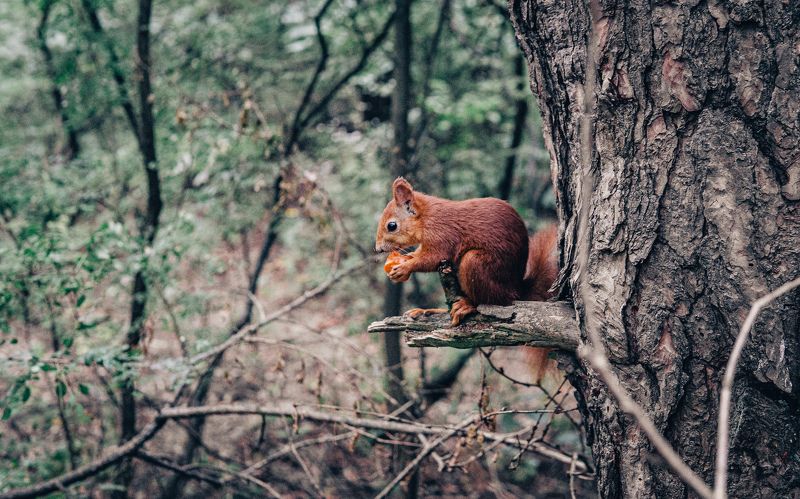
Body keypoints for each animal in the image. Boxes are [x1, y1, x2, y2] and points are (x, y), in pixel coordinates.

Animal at [375, 177, 558, 325]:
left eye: (392, 226)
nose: (378, 248)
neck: (427, 218)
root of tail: (517, 289)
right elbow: (419, 255)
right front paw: (406, 259)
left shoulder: (442, 236)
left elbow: (431, 259)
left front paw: (404, 268)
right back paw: (432, 310)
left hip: (475, 264)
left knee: (490, 300)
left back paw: (466, 306)